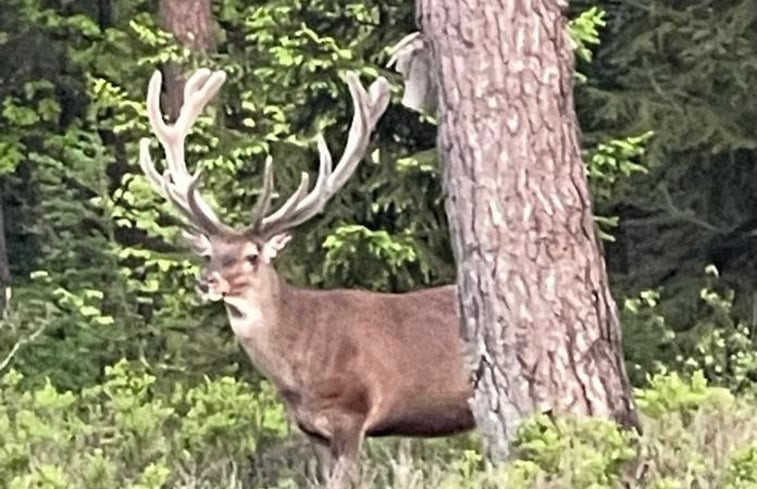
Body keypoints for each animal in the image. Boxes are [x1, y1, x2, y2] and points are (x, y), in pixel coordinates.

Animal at [136, 68, 472, 484]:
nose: (207, 281)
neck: (298, 371)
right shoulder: (310, 428)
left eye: (252, 256)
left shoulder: (352, 413)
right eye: (210, 253)